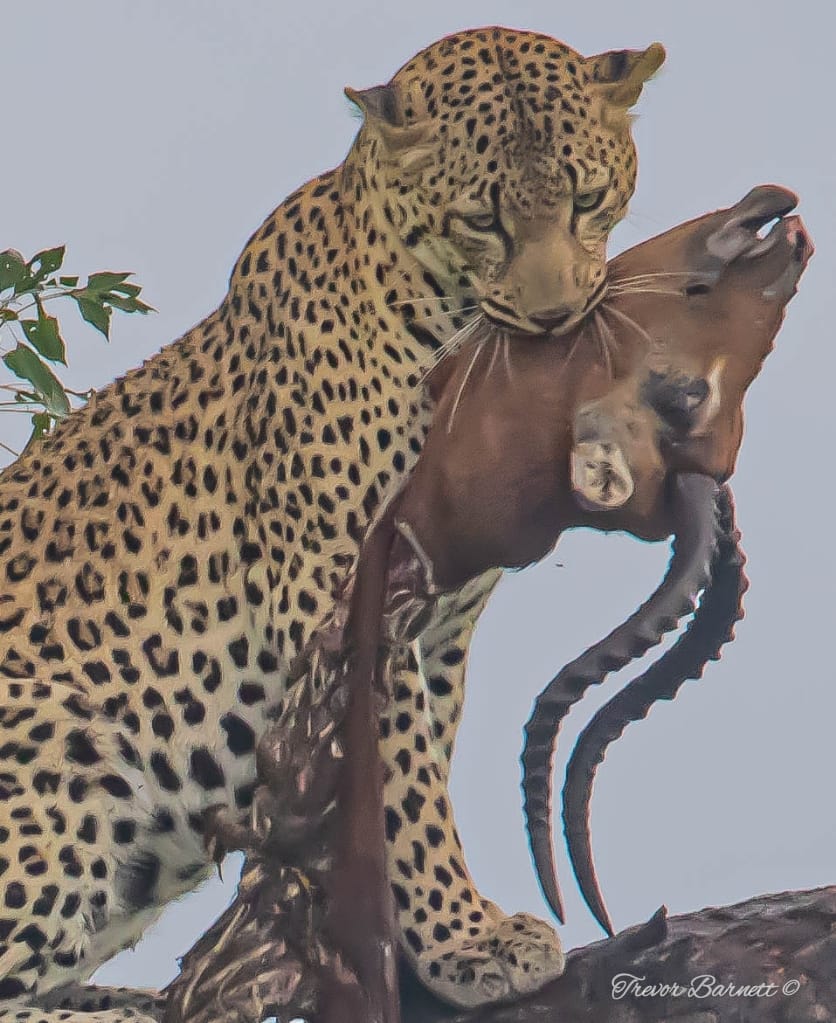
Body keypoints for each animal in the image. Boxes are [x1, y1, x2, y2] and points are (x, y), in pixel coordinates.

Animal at [0, 26, 664, 1019]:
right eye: (483, 220)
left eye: (587, 200)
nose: (553, 319)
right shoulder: (339, 589)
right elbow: (400, 779)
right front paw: (468, 939)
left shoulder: (444, 621)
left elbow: (408, 770)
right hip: (59, 745)